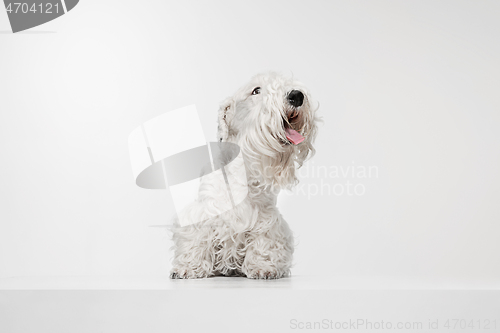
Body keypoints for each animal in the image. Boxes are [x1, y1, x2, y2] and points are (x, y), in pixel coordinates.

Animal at [170, 72, 318, 278]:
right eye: (256, 90)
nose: (297, 96)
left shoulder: (267, 219)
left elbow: (264, 242)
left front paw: (264, 267)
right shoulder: (203, 213)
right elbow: (196, 240)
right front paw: (188, 268)